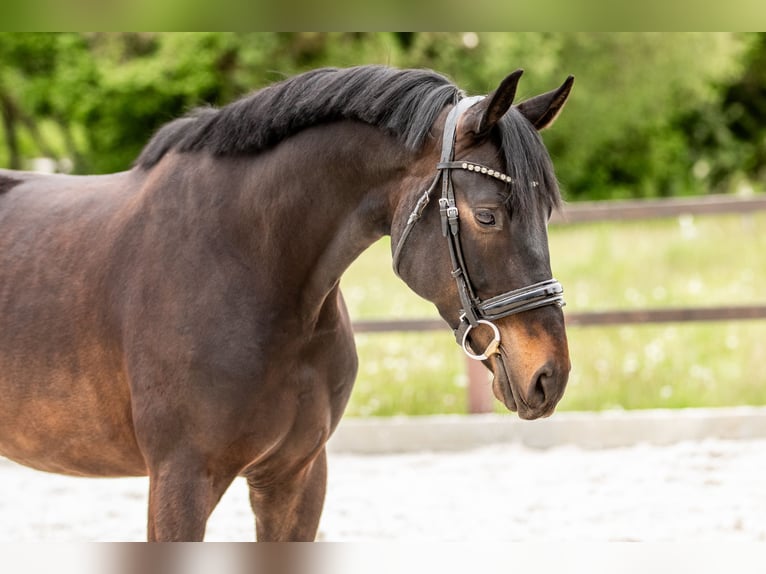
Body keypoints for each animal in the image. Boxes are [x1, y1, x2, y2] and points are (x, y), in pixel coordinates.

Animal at [0, 65, 573, 541]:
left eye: (545, 211)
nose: (550, 376)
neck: (250, 267)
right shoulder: (180, 479)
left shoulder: (296, 475)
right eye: (487, 216)